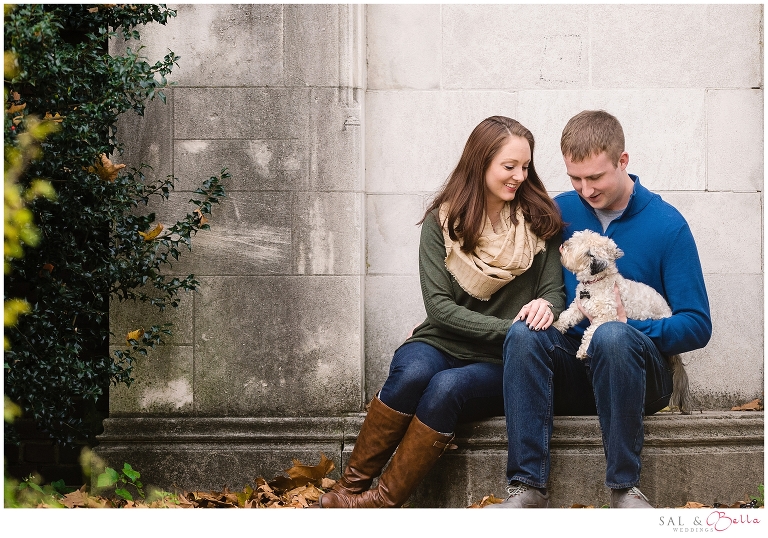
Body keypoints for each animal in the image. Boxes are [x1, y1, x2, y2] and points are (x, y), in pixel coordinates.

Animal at [548, 229, 692, 410]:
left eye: (577, 244)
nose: (564, 244)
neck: (597, 281)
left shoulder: (606, 315)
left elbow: (590, 332)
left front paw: (583, 351)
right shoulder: (578, 307)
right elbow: (567, 316)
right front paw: (556, 325)